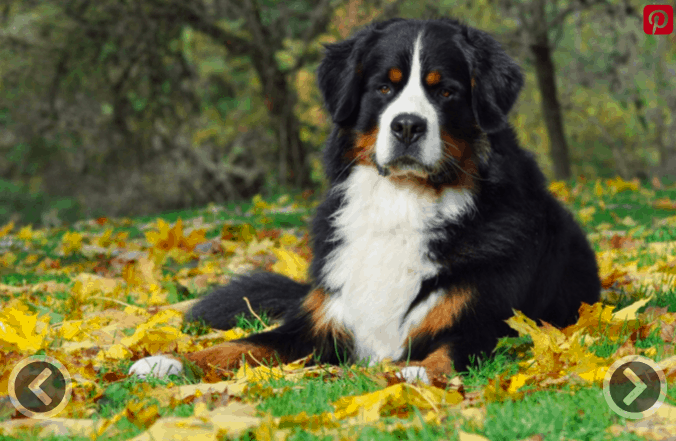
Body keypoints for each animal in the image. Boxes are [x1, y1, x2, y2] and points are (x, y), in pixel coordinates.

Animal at [129, 17, 600, 384]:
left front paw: (415, 373)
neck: (403, 201)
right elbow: (244, 345)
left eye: (445, 91)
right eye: (384, 88)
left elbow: (448, 352)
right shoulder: (322, 323)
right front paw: (167, 361)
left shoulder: (486, 321)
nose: (407, 125)